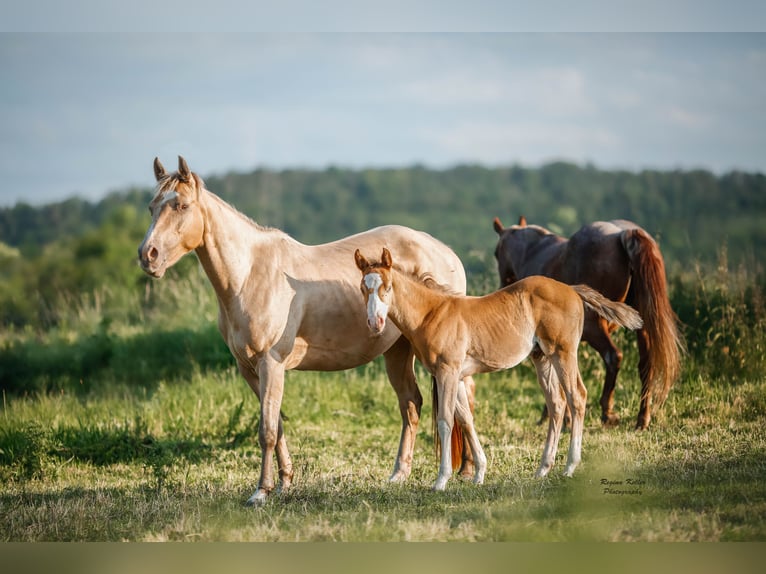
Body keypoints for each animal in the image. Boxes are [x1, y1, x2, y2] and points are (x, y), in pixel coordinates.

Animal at [136, 156, 474, 504]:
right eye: (152, 207)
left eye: (182, 205)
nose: (148, 256)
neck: (250, 275)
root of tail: (445, 252)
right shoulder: (250, 370)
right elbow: (276, 424)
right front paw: (284, 482)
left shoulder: (270, 364)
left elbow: (267, 431)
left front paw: (260, 492)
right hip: (398, 351)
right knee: (412, 404)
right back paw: (400, 475)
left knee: (460, 406)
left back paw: (466, 472)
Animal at [356, 248, 644, 490]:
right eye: (362, 288)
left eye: (387, 287)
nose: (374, 322)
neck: (432, 313)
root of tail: (571, 289)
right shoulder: (455, 375)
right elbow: (466, 420)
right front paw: (480, 474)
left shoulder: (448, 371)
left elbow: (446, 420)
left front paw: (441, 481)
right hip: (542, 357)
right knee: (557, 403)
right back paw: (543, 469)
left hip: (563, 352)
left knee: (577, 397)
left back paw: (570, 467)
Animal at [496, 217, 688, 432]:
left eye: (496, 253)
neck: (535, 252)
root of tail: (625, 232)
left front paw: (559, 419)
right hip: (642, 326)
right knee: (646, 365)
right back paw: (642, 419)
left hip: (595, 329)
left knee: (613, 356)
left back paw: (607, 412)